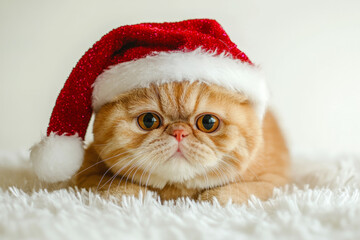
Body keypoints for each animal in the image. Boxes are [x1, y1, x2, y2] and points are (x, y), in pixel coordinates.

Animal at [75, 81, 290, 205]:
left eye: (208, 122)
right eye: (148, 120)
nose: (179, 132)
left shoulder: (276, 182)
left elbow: (228, 193)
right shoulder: (84, 175)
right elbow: (119, 187)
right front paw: (138, 194)